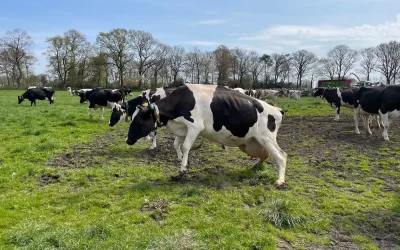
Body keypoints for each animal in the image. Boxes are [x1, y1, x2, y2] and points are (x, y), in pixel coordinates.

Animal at [125, 84, 288, 186]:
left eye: (138, 121)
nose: (128, 140)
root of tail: (277, 109)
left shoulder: (195, 126)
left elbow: (185, 146)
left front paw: (183, 169)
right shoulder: (183, 128)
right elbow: (176, 144)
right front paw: (181, 160)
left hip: (266, 138)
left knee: (281, 156)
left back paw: (280, 181)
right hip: (253, 143)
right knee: (265, 155)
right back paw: (254, 166)